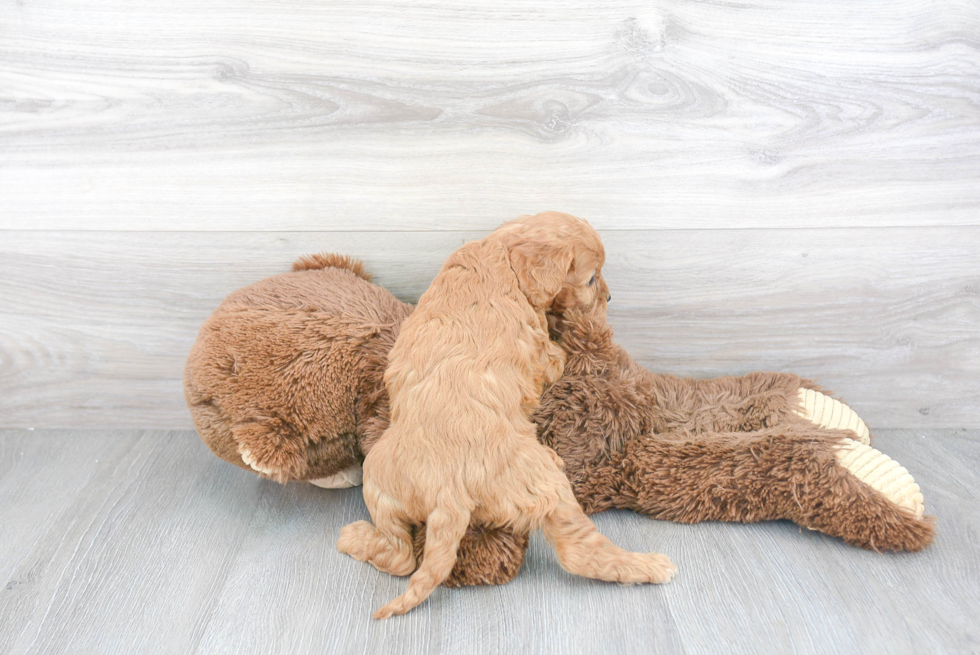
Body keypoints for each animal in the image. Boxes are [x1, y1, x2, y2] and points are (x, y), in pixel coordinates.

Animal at [336, 211, 672, 620]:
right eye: (592, 278)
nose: (609, 297)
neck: (501, 250)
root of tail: (448, 492)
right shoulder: (542, 352)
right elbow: (556, 356)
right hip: (544, 488)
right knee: (579, 551)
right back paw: (650, 565)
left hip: (379, 481)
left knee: (400, 556)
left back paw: (354, 538)